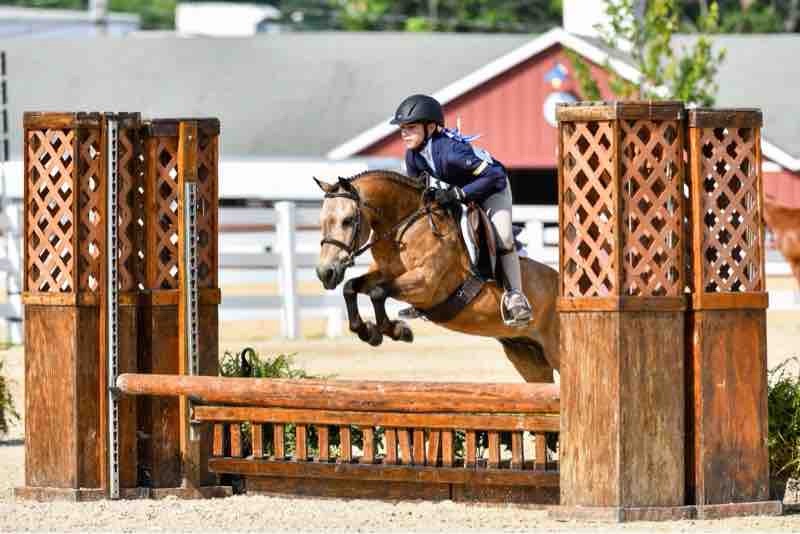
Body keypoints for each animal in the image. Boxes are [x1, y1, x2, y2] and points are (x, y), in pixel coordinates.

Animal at [314, 170, 560, 382]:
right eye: (322, 221)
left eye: (347, 220)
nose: (325, 272)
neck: (403, 228)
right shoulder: (385, 273)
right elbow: (351, 287)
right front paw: (369, 332)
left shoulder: (426, 284)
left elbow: (378, 292)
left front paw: (398, 330)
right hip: (527, 357)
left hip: (554, 350)